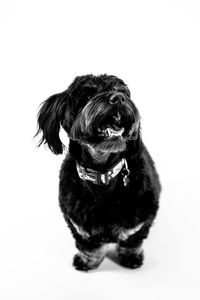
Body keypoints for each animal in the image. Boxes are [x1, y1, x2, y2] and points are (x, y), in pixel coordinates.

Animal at [35, 74, 161, 270]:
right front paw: (87, 261)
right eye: (88, 95)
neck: (103, 174)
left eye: (122, 92)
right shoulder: (77, 222)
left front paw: (131, 258)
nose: (119, 98)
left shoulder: (142, 215)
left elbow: (132, 240)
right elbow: (88, 245)